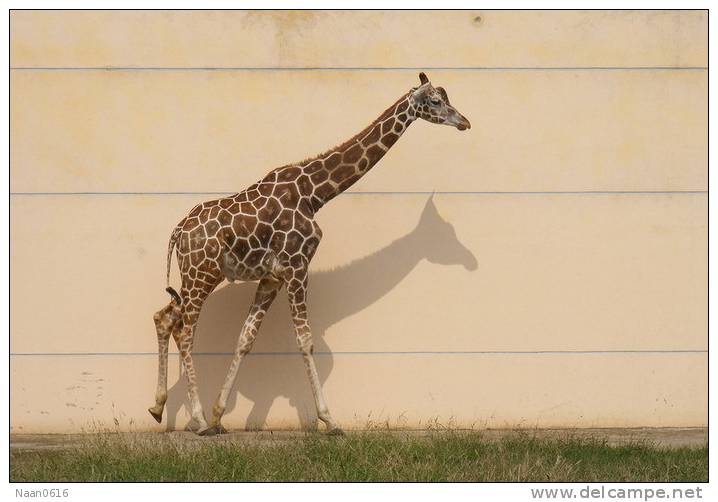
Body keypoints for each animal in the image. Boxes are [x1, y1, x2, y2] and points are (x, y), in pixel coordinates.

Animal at [148, 71, 472, 436]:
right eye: (435, 101)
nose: (464, 122)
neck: (315, 194)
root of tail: (178, 231)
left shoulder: (272, 277)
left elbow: (245, 339)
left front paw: (220, 414)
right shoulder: (297, 266)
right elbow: (305, 340)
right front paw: (329, 420)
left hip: (197, 276)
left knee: (164, 317)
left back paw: (160, 409)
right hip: (201, 273)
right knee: (185, 331)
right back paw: (198, 421)